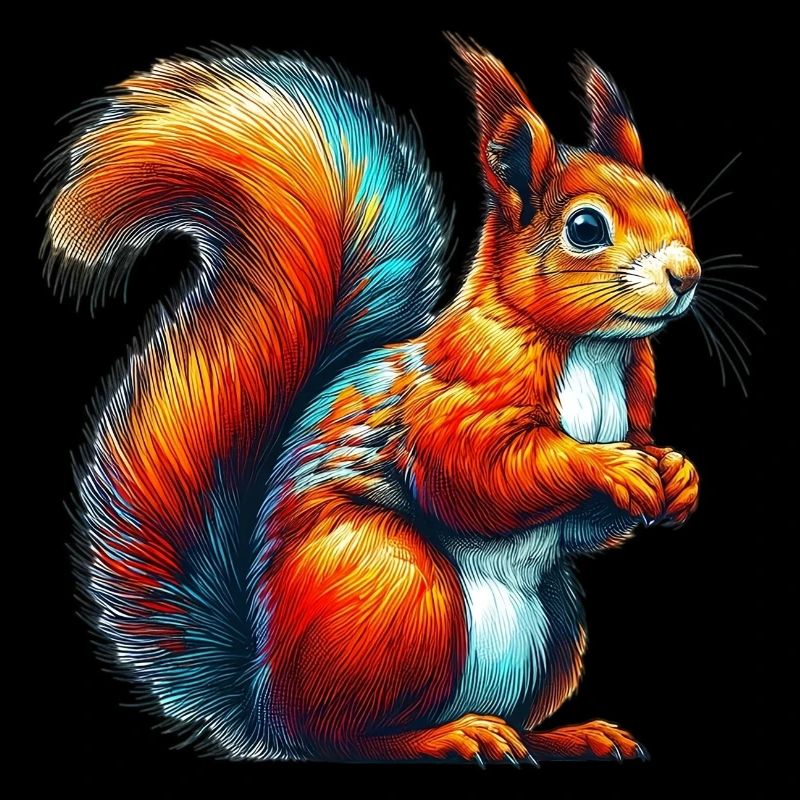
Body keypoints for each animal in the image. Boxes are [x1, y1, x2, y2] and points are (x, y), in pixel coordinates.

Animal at [44, 38, 701, 764]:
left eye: (674, 205)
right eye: (586, 227)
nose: (687, 275)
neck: (593, 350)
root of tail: (262, 702)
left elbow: (589, 527)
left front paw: (676, 473)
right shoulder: (449, 400)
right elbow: (477, 474)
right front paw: (611, 465)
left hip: (552, 628)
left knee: (507, 717)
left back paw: (571, 736)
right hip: (394, 590)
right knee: (345, 736)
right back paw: (452, 737)